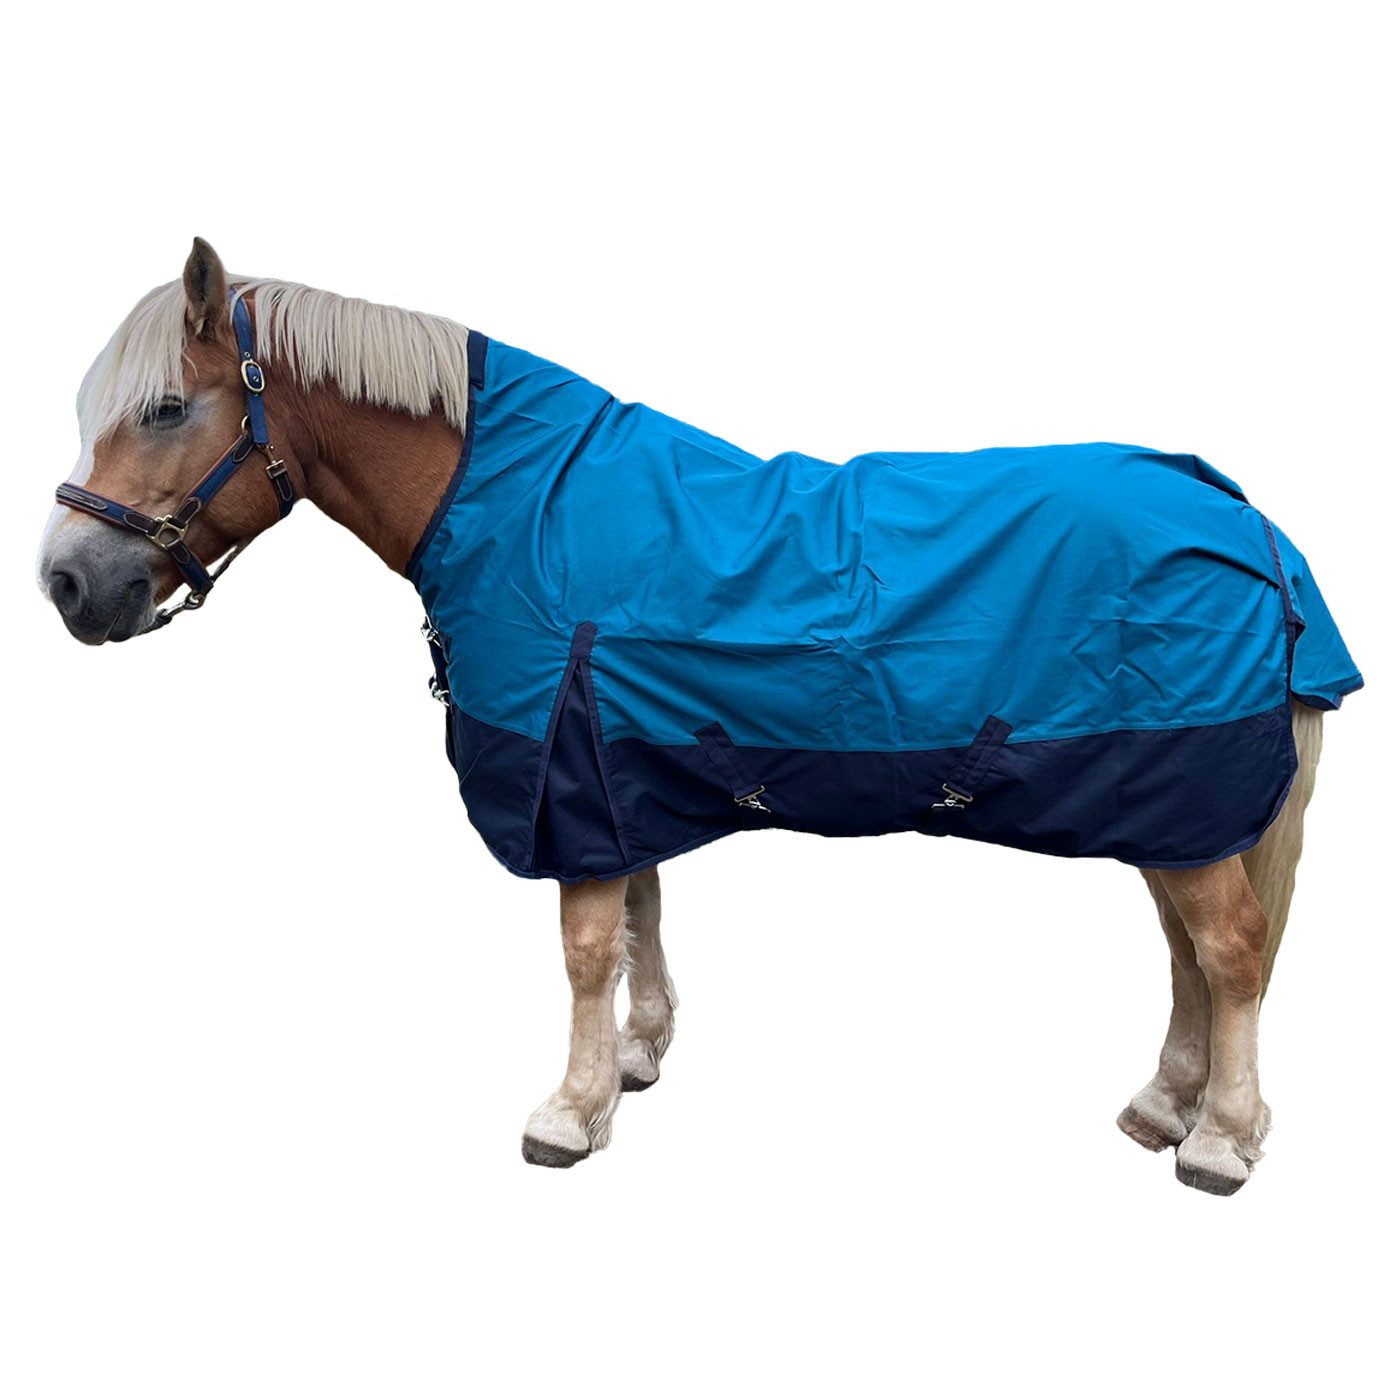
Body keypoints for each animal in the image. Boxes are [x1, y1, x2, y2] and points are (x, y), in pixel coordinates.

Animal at [37, 238, 1361, 1193]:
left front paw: (566, 1115)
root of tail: (1242, 517)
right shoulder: (614, 766)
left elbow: (583, 946)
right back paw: (1163, 1104)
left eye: (165, 408)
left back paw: (1218, 1139)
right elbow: (637, 917)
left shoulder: (563, 774)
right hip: (1169, 807)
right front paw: (632, 1061)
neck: (518, 503)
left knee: (1229, 951)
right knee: (1189, 952)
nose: (65, 583)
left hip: (1184, 797)